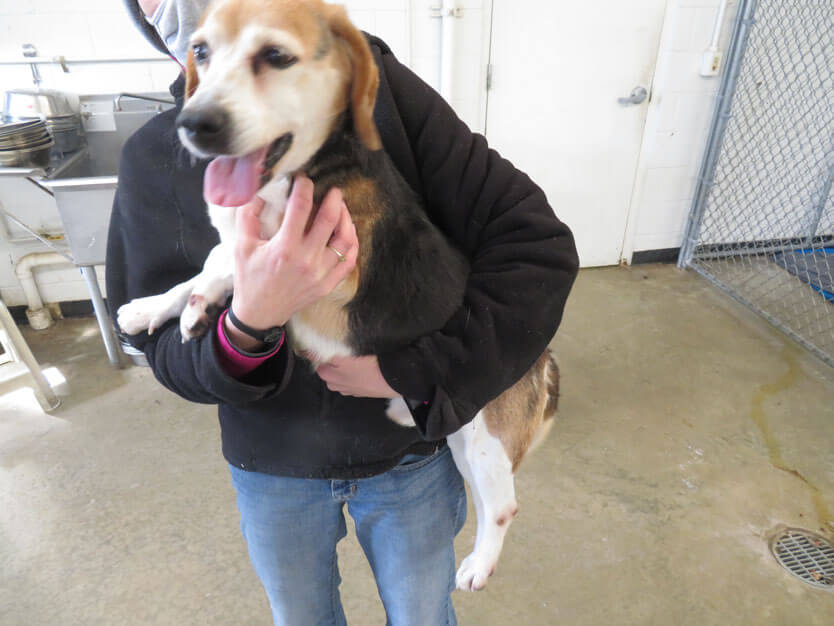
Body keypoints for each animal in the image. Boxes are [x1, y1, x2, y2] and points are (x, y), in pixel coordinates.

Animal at [117, 0, 560, 588]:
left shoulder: (329, 262)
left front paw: (200, 303)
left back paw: (478, 566)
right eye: (202, 52)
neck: (293, 173)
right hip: (462, 436)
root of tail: (544, 357)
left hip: (485, 436)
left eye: (276, 56)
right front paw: (151, 308)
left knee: (504, 507)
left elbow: (225, 262)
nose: (194, 124)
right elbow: (209, 262)